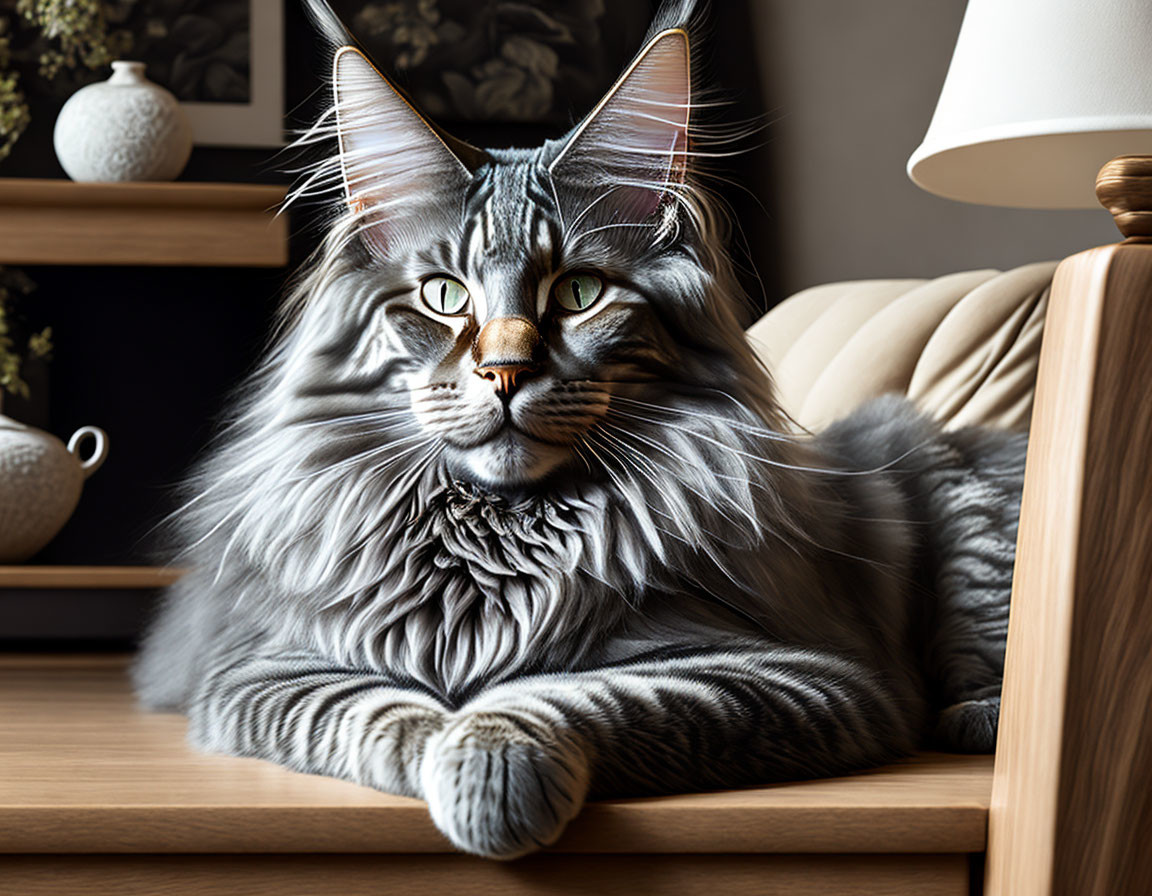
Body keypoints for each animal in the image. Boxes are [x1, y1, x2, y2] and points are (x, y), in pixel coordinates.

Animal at [134, 0, 1027, 856]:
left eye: (579, 293)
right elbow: (387, 713)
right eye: (444, 295)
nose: (504, 372)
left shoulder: (797, 672)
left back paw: (977, 718)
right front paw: (452, 756)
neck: (494, 543)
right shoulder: (270, 669)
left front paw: (491, 773)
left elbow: (570, 696)